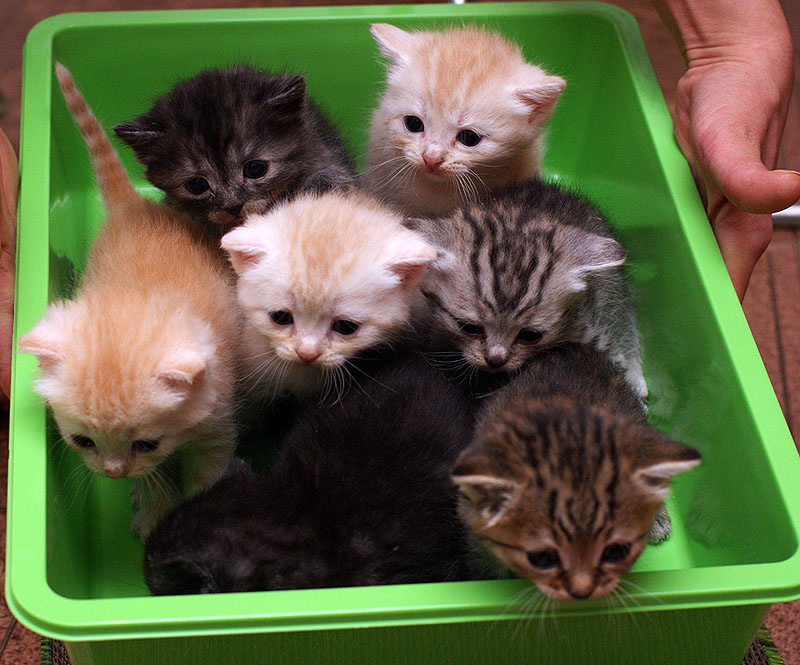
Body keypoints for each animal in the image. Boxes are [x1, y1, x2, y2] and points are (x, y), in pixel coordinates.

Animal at [18, 63, 241, 538]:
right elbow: (154, 480)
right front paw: (155, 506)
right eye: (82, 441)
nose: (113, 472)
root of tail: (132, 207)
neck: (134, 303)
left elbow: (208, 470)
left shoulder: (218, 410)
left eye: (146, 443)